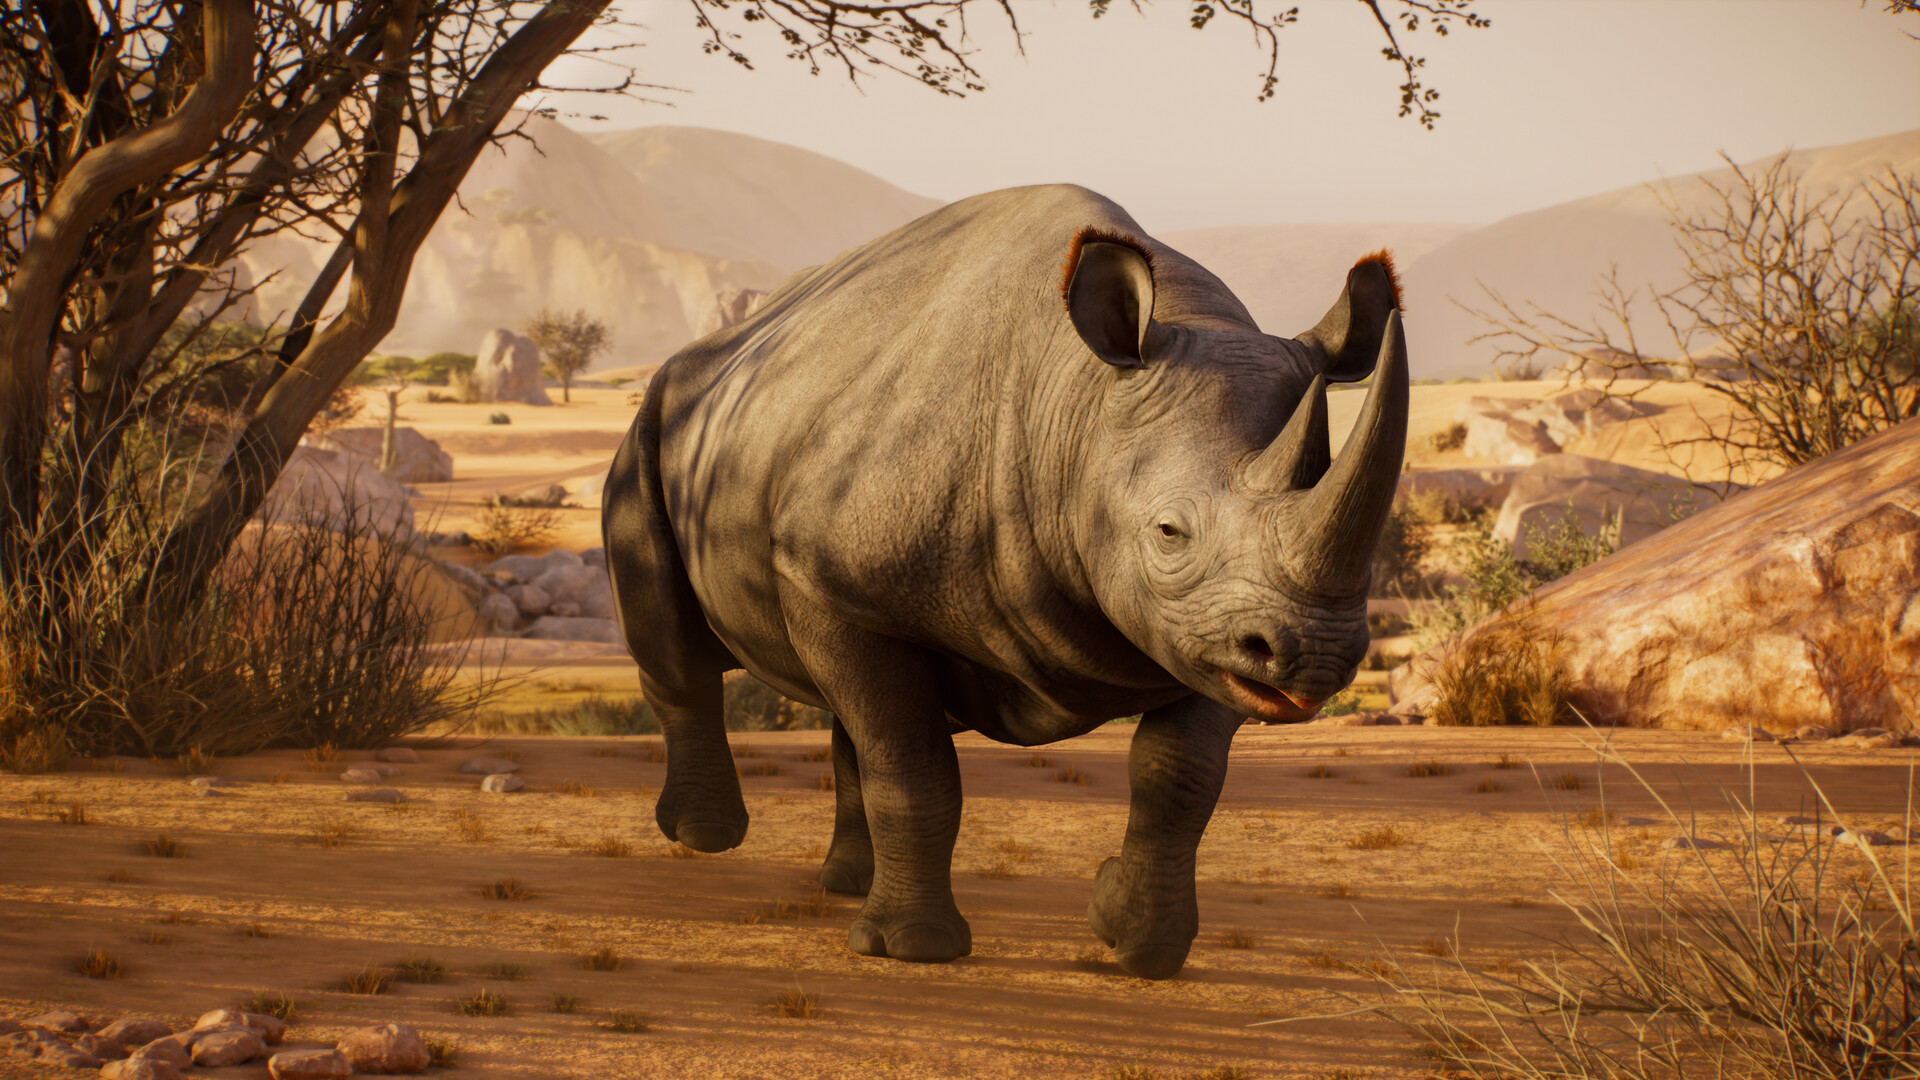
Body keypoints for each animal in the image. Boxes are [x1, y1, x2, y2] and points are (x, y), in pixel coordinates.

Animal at [603, 184, 1407, 980]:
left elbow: (1179, 779)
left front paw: (1140, 946)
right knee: (679, 646)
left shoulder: (1214, 635)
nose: (1318, 658)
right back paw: (704, 837)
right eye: (1168, 532)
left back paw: (846, 885)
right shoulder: (821, 575)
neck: (1082, 405)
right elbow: (913, 763)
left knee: (850, 714)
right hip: (656, 422)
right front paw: (913, 949)